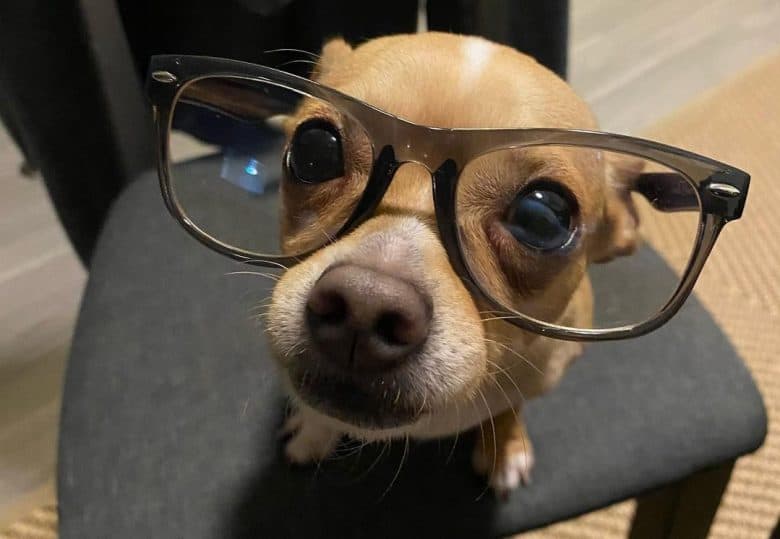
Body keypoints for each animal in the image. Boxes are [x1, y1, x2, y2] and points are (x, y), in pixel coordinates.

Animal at [266, 32, 636, 498]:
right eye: (314, 149)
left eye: (543, 217)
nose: (365, 305)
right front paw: (313, 431)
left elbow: (512, 404)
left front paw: (506, 444)